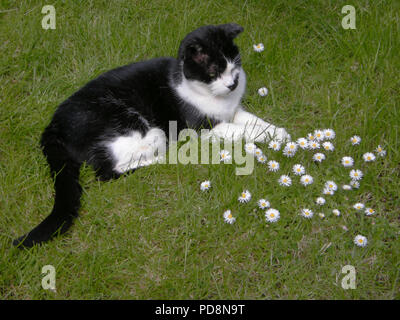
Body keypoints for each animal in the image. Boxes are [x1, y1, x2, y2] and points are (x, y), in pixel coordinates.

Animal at [12, 23, 288, 249]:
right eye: (213, 71)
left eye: (235, 64)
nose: (232, 84)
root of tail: (53, 126)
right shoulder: (205, 127)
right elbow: (242, 131)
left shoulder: (234, 112)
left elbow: (254, 123)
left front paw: (280, 134)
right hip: (142, 130)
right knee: (108, 171)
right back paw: (166, 158)